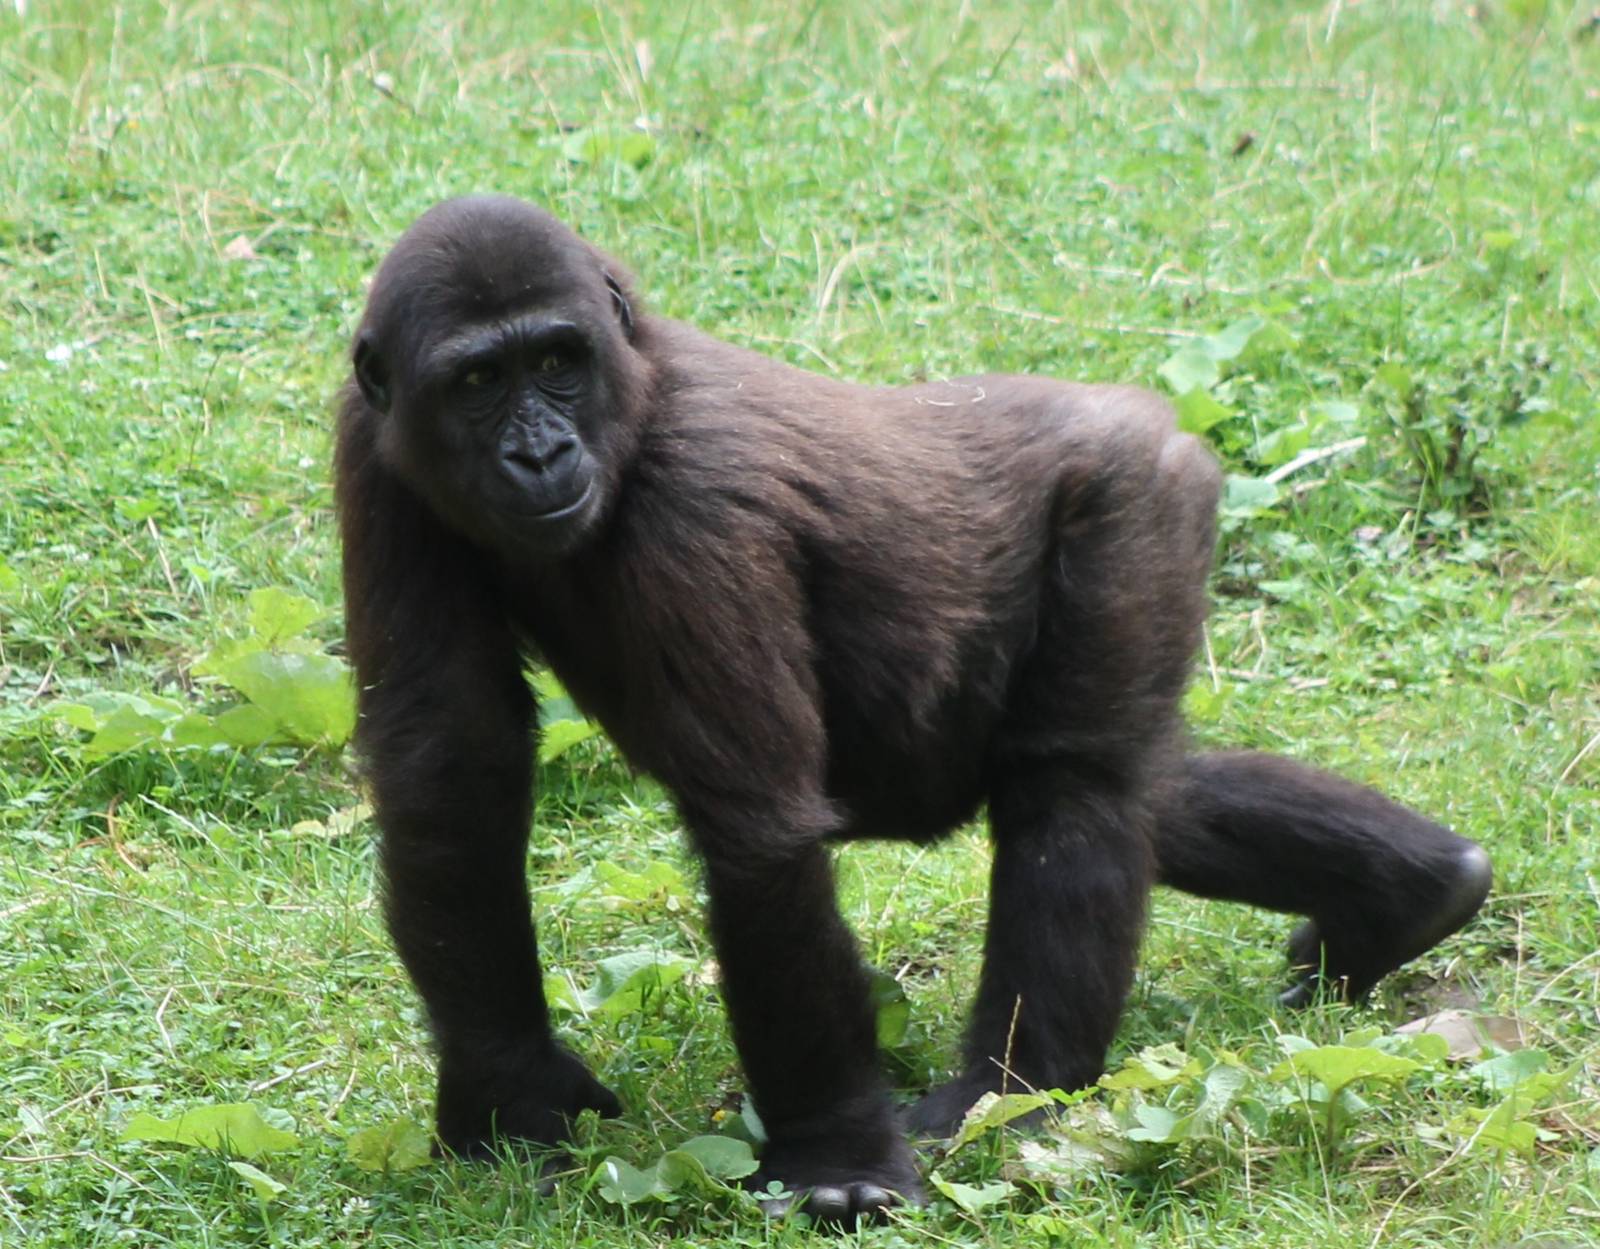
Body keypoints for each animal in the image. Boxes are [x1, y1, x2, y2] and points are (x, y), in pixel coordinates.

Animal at [335, 195, 1491, 1221]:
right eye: (479, 380)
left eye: (557, 364)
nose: (539, 453)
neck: (635, 389)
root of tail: (1151, 417)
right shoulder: (372, 443)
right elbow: (451, 769)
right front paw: (507, 1088)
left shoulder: (692, 502)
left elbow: (756, 835)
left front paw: (837, 1158)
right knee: (1146, 789)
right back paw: (1420, 891)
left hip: (1136, 499)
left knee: (1074, 787)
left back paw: (1013, 1095)